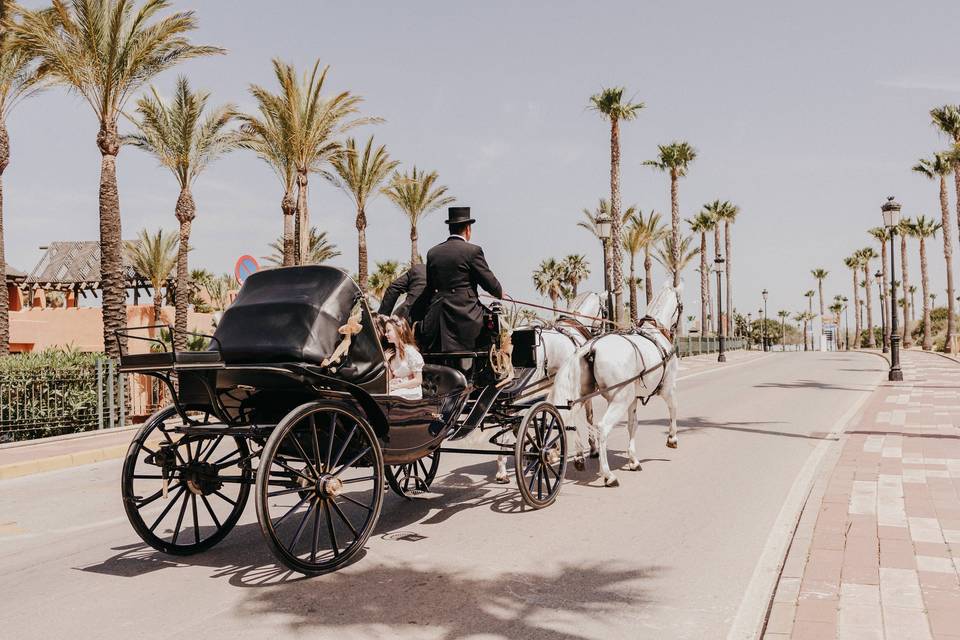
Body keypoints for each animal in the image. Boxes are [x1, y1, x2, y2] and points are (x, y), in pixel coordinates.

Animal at [548, 282, 684, 488]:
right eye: (681, 306)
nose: (676, 330)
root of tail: (591, 348)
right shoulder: (667, 388)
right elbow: (674, 408)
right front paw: (672, 438)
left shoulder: (634, 399)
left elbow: (633, 425)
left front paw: (633, 460)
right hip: (619, 399)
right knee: (603, 427)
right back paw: (608, 475)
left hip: (582, 396)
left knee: (569, 421)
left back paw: (578, 458)